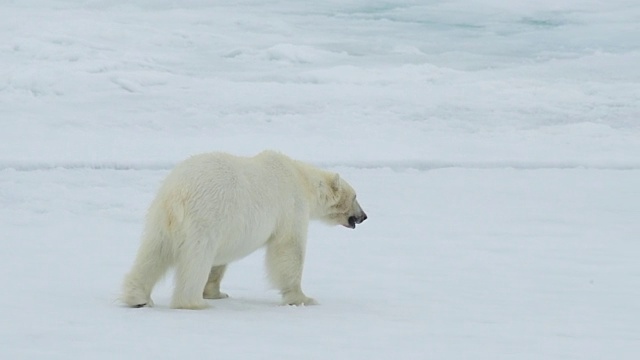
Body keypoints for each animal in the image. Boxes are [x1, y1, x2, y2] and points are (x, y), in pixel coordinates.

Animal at [122, 150, 368, 310]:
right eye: (355, 196)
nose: (364, 216)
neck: (301, 177)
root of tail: (177, 195)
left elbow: (219, 263)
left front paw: (216, 292)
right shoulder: (291, 206)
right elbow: (289, 250)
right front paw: (303, 298)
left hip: (161, 219)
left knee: (152, 254)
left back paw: (138, 298)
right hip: (204, 219)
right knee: (196, 260)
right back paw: (193, 302)